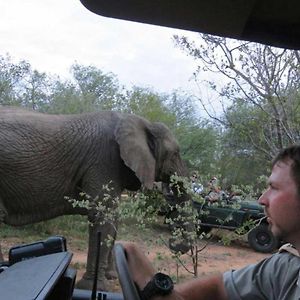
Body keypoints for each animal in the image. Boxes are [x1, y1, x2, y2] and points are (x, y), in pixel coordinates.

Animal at [0, 107, 191, 290]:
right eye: (175, 154)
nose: (173, 243)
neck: (142, 122)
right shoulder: (105, 160)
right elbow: (102, 217)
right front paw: (93, 287)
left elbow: (113, 218)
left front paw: (112, 277)